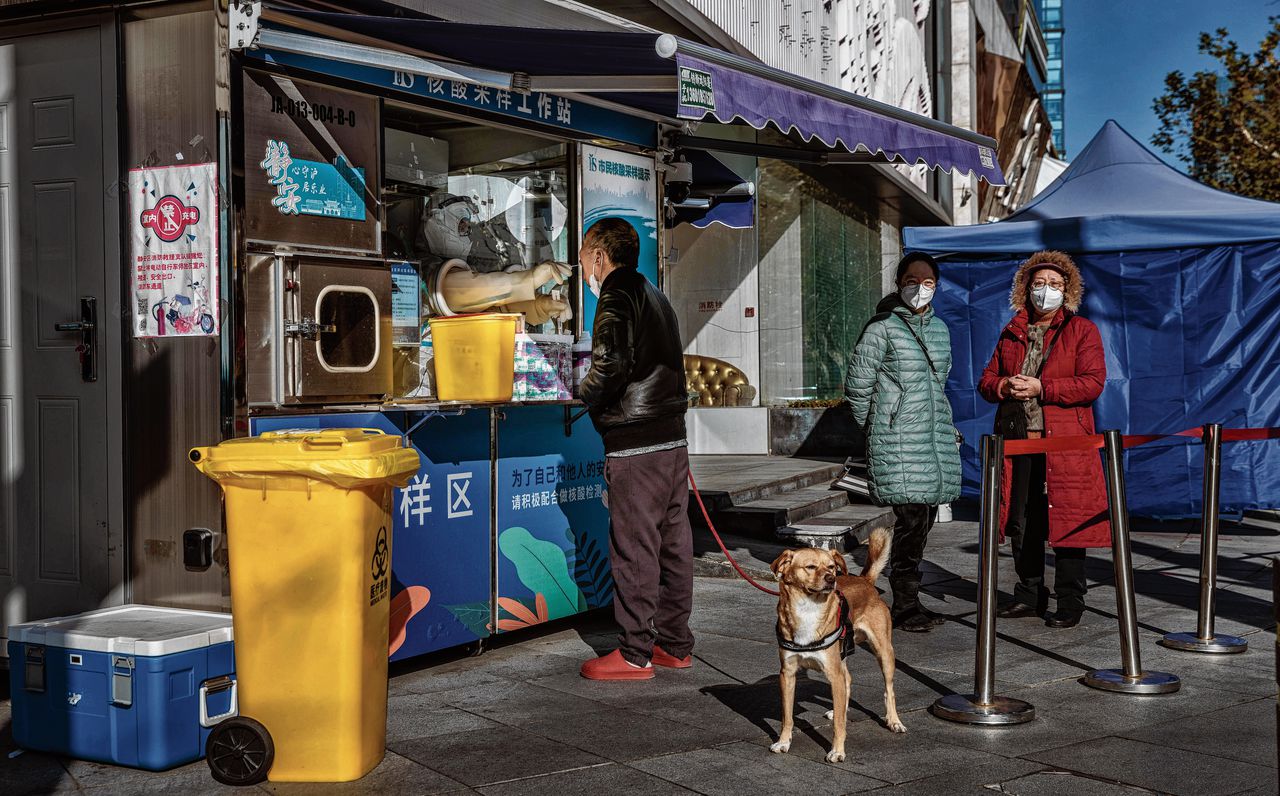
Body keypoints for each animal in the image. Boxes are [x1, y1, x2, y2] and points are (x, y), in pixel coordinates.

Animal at [762, 527, 906, 762]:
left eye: (831, 567)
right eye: (810, 567)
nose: (831, 579)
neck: (808, 609)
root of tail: (865, 581)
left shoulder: (833, 673)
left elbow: (839, 724)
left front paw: (837, 751)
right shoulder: (787, 674)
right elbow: (787, 716)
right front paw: (784, 742)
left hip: (884, 652)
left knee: (888, 690)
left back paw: (893, 721)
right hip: (841, 656)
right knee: (848, 680)